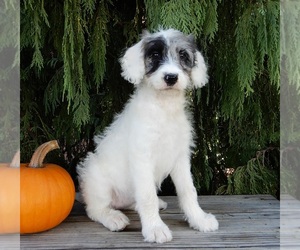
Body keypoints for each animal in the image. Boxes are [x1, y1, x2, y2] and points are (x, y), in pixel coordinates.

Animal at [77, 28, 218, 243]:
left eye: (183, 55)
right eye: (155, 55)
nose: (171, 77)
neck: (164, 108)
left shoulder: (180, 157)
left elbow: (188, 191)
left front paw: (199, 219)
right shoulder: (142, 157)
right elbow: (147, 196)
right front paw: (155, 228)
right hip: (95, 178)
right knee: (95, 209)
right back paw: (113, 217)